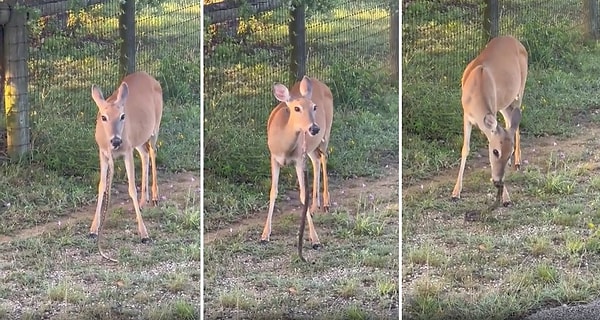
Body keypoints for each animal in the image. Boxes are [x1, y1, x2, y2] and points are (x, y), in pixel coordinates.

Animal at [88, 71, 163, 262]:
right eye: (103, 117)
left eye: (122, 116)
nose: (116, 141)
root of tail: (149, 76)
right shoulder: (103, 153)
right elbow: (101, 186)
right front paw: (93, 229)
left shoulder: (127, 151)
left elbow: (131, 188)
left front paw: (144, 234)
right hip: (138, 138)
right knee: (144, 154)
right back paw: (144, 201)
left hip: (155, 126)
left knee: (153, 152)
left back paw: (155, 196)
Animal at [260, 75, 336, 250]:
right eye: (296, 108)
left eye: (314, 107)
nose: (314, 128)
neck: (284, 146)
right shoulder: (274, 158)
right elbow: (273, 191)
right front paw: (265, 235)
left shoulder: (298, 160)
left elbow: (302, 194)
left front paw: (315, 240)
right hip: (310, 147)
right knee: (316, 160)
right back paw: (315, 207)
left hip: (326, 133)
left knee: (324, 157)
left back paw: (326, 203)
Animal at [452, 36, 528, 208]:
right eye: (495, 151)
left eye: (509, 152)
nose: (498, 181)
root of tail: (515, 40)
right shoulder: (466, 115)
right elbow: (465, 149)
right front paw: (455, 192)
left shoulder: (492, 108)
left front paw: (506, 198)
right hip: (505, 103)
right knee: (511, 122)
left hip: (520, 89)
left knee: (514, 122)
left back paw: (518, 162)